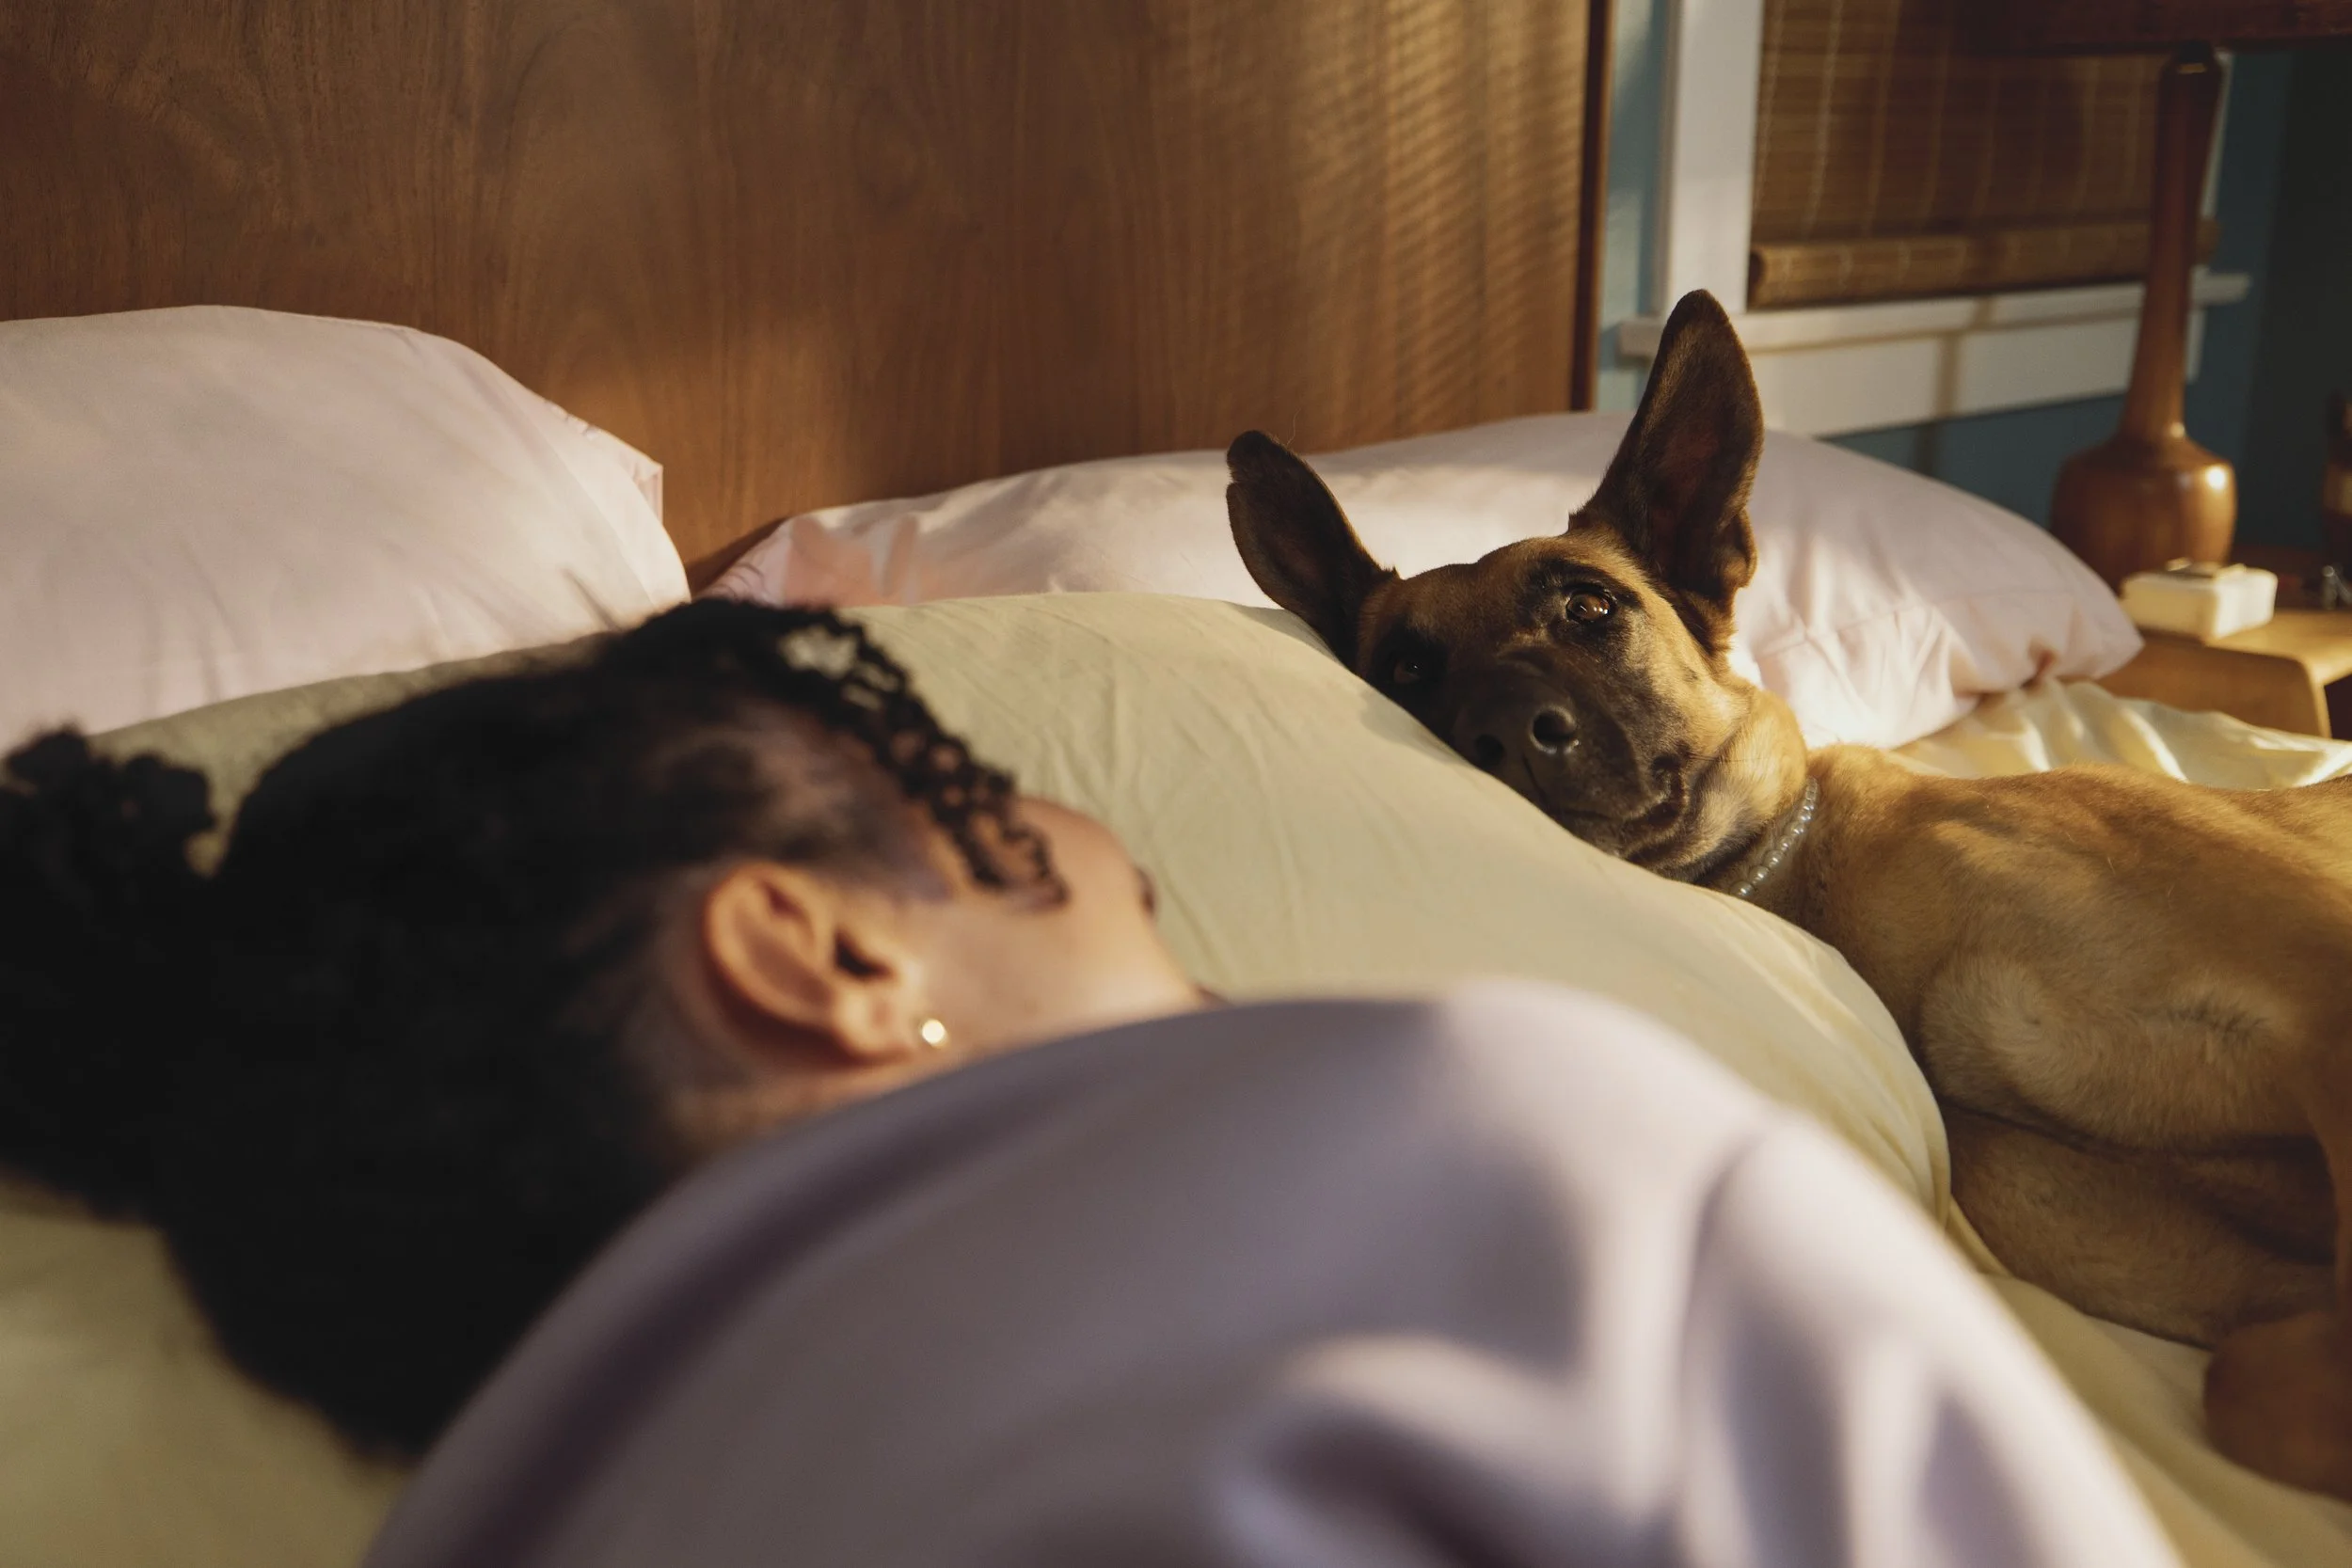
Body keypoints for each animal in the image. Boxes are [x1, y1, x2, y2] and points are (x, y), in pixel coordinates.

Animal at [1224, 289, 2352, 1500]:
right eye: (1403, 669)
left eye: (1589, 609)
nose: (1507, 733)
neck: (1813, 876)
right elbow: (2247, 1373)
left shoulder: (2325, 992)